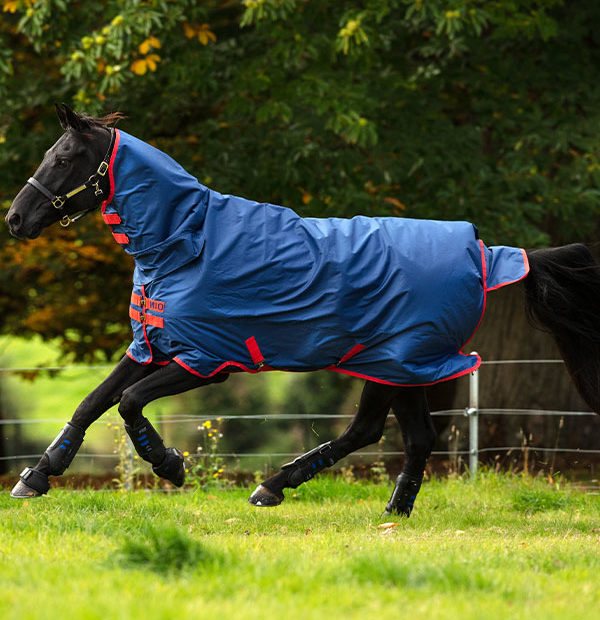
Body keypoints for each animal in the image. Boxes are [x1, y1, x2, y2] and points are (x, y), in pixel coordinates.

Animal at [4, 106, 600, 512]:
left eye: (62, 158)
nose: (15, 219)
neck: (186, 242)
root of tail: (486, 252)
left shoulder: (206, 361)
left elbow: (128, 404)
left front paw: (170, 466)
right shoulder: (151, 346)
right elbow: (92, 403)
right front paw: (37, 477)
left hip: (398, 362)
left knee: (381, 433)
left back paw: (289, 489)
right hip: (397, 366)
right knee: (399, 437)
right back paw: (367, 504)